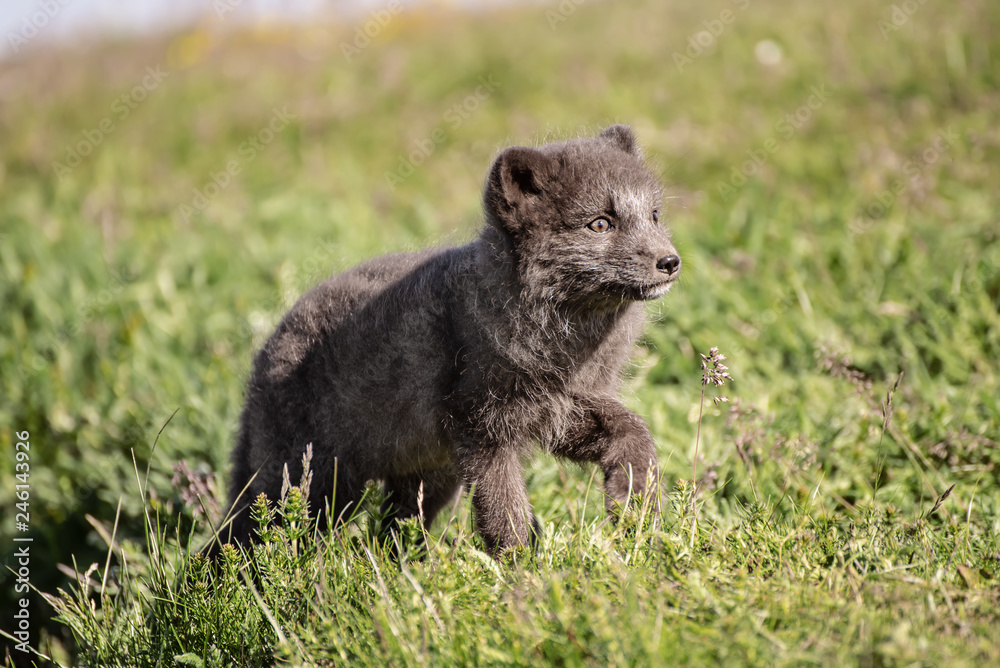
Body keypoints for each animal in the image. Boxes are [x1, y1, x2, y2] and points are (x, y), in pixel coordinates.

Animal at [219, 124, 681, 556]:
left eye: (655, 215)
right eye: (600, 224)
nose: (671, 261)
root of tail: (265, 351)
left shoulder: (562, 406)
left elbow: (634, 430)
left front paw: (634, 510)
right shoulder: (481, 427)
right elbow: (504, 509)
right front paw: (522, 573)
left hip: (424, 479)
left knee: (392, 533)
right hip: (307, 482)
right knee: (248, 538)